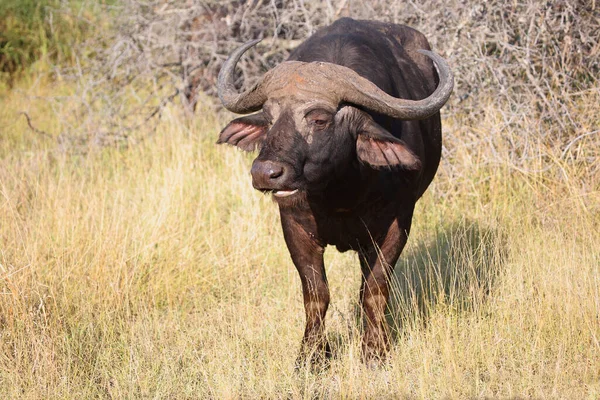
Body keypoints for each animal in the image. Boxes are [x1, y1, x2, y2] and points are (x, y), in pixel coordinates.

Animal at [218, 18, 452, 366]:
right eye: (269, 119)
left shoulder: (395, 227)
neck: (341, 194)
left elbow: (374, 291)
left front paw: (375, 351)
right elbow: (316, 293)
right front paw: (312, 356)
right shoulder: (295, 229)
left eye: (318, 119)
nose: (265, 173)